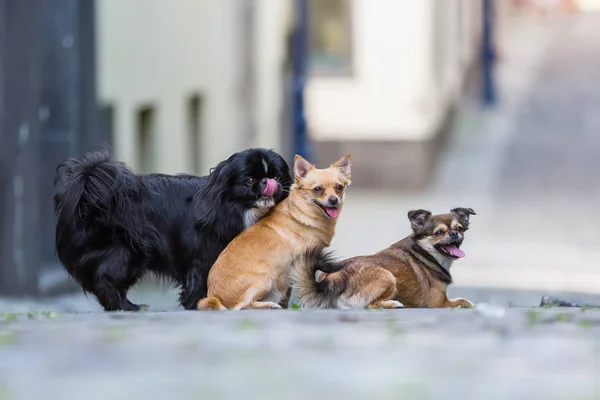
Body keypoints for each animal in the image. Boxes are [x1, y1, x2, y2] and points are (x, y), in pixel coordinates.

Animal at [52, 148, 292, 310]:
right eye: (249, 180)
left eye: (277, 176)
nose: (267, 182)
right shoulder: (203, 257)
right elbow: (202, 282)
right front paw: (197, 303)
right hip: (127, 253)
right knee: (105, 280)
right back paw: (129, 307)